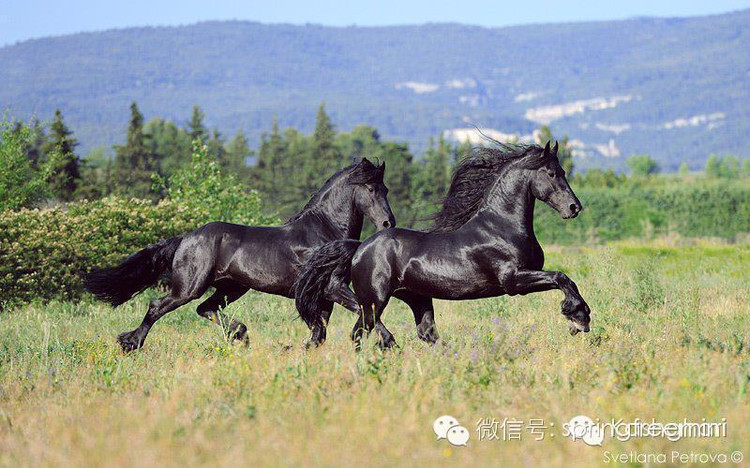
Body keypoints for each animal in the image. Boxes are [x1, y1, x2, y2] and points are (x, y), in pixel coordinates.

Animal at [84, 158, 396, 352]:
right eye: (371, 188)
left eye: (386, 188)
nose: (388, 223)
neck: (323, 230)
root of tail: (186, 238)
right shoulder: (331, 287)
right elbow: (363, 310)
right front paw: (389, 342)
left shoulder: (321, 296)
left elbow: (320, 332)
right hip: (189, 287)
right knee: (157, 306)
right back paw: (131, 343)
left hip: (232, 287)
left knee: (206, 309)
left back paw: (240, 334)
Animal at [293, 141, 591, 350]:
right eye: (551, 173)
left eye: (563, 171)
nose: (574, 207)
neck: (501, 226)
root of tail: (360, 247)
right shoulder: (513, 281)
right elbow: (561, 277)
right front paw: (578, 318)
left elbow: (564, 279)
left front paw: (577, 318)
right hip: (374, 300)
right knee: (361, 331)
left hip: (416, 298)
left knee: (425, 333)